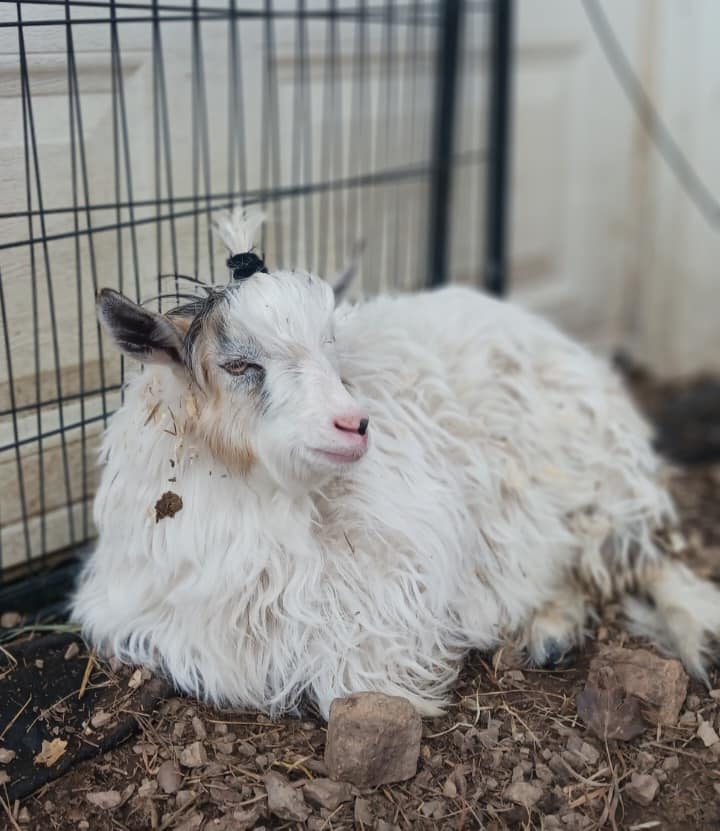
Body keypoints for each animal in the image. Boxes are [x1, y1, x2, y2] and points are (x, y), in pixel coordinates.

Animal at [72, 208, 720, 719]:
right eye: (237, 365)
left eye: (329, 347)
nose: (354, 424)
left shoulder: (396, 587)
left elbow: (350, 676)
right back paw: (553, 629)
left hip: (596, 478)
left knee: (642, 557)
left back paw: (693, 628)